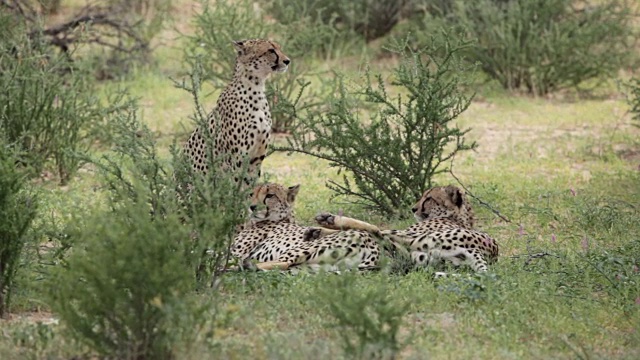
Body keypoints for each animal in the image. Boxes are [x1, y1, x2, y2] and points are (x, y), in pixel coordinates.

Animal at [181, 39, 288, 187]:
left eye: (279, 48)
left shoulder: (256, 158)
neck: (256, 88)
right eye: (270, 50)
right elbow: (237, 186)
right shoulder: (238, 159)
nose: (287, 61)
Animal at [228, 184, 392, 272]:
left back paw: (247, 266)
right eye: (251, 194)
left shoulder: (235, 252)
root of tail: (376, 250)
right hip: (315, 266)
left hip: (303, 249)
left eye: (270, 195)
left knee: (283, 262)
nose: (252, 207)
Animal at [312, 187, 498, 272]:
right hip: (411, 256)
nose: (413, 209)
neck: (459, 219)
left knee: (376, 231)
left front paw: (322, 226)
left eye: (428, 198)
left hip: (410, 238)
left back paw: (329, 220)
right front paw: (314, 232)